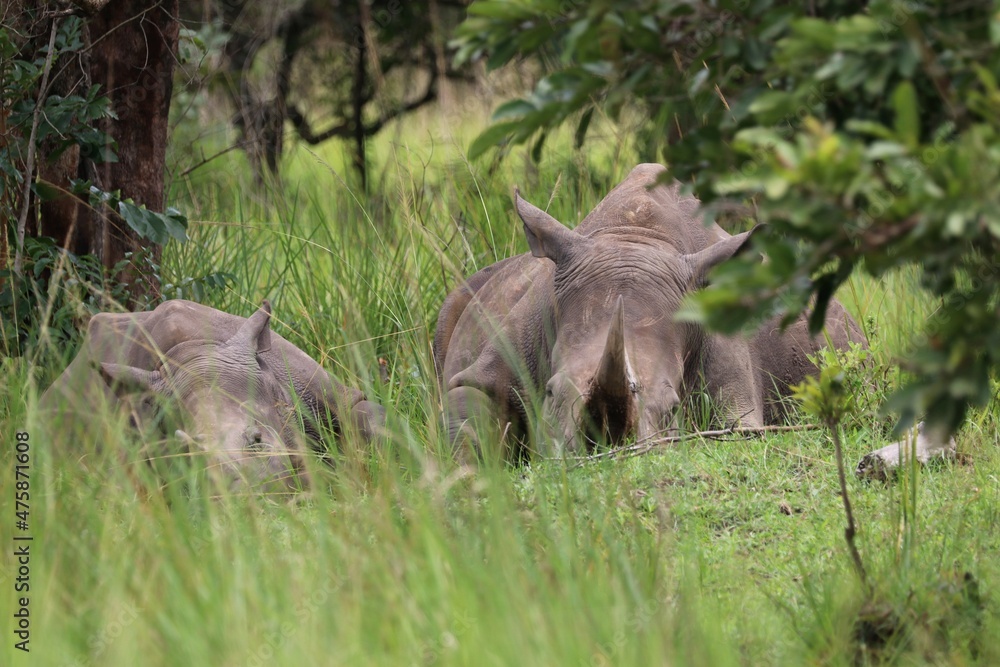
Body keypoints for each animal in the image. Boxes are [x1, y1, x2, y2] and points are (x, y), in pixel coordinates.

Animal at [40, 299, 385, 492]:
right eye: (186, 455)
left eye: (258, 438)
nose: (246, 488)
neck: (193, 348)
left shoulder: (320, 390)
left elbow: (367, 418)